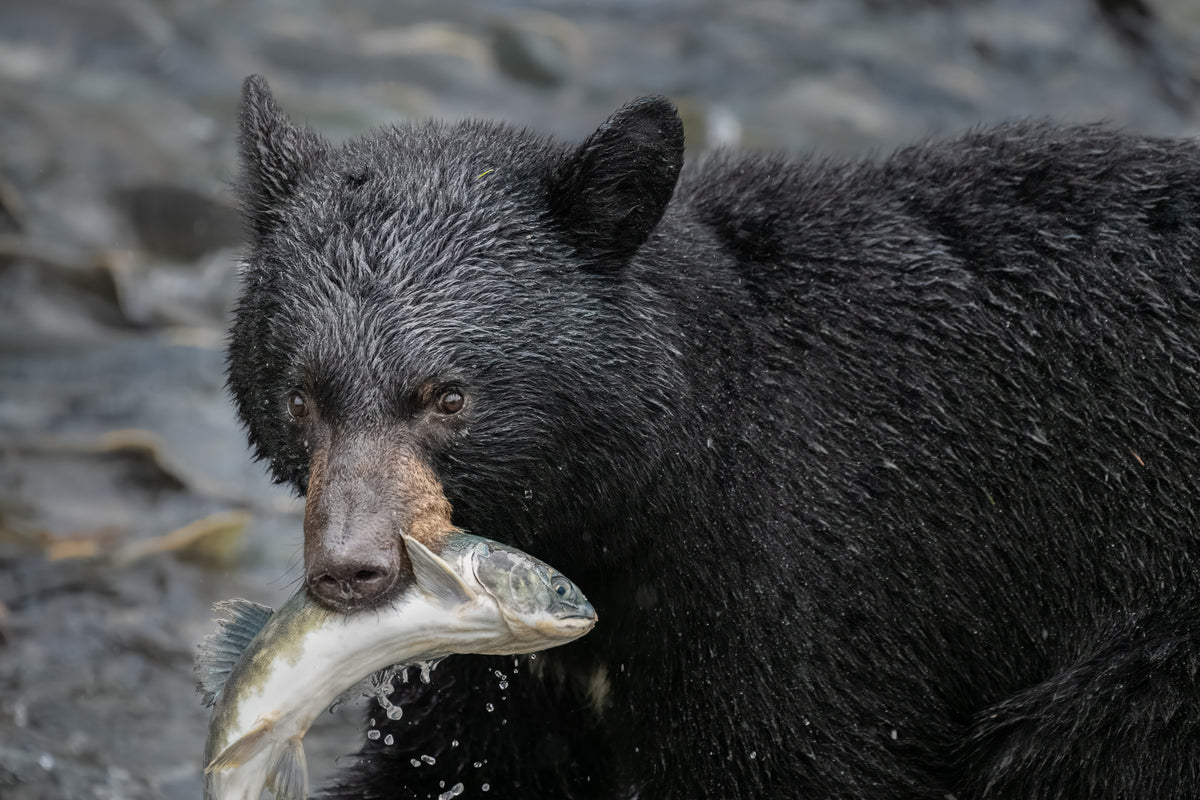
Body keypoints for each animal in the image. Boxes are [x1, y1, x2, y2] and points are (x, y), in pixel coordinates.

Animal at [226, 73, 1200, 799]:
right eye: (301, 398)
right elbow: (456, 766)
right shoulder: (491, 661)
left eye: (449, 397)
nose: (351, 570)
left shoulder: (798, 594)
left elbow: (787, 757)